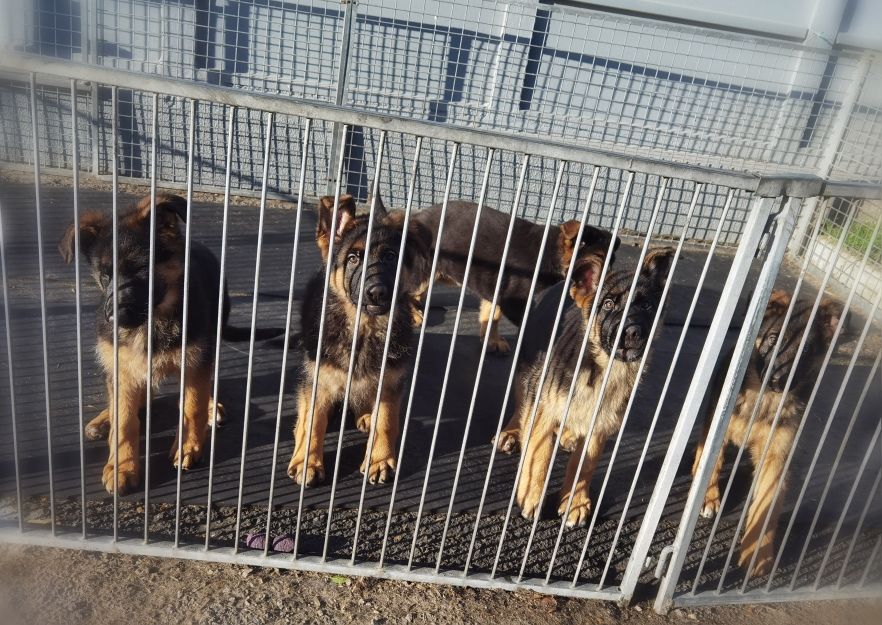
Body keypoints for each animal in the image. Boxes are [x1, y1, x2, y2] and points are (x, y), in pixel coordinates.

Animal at [59, 193, 278, 494]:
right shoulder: (122, 367)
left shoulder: (195, 361)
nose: (113, 319)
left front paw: (188, 446)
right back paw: (104, 420)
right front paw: (122, 466)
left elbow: (192, 405)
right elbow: (124, 420)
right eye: (105, 275)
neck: (154, 320)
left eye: (142, 269)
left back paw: (211, 407)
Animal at [286, 193, 430, 486]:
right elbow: (312, 422)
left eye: (390, 257)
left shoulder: (391, 380)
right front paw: (308, 460)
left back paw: (365, 414)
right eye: (353, 259)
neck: (364, 328)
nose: (377, 293)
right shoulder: (316, 378)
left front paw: (379, 460)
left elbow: (387, 420)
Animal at [408, 202, 620, 354]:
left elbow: (491, 315)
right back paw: (414, 314)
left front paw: (491, 341)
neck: (552, 253)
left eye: (612, 261)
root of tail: (417, 215)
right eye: (597, 261)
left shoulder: (497, 291)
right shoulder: (514, 300)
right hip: (426, 271)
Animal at [498, 247, 676, 528]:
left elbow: (585, 464)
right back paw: (513, 432)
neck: (599, 367)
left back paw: (568, 434)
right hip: (528, 368)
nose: (634, 333)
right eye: (608, 305)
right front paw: (531, 496)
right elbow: (539, 453)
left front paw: (576, 502)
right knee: (521, 404)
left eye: (647, 306)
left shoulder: (601, 423)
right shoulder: (543, 409)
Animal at [688, 290, 840, 576]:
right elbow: (713, 461)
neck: (765, 400)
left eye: (805, 350)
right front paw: (708, 497)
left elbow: (767, 502)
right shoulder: (719, 429)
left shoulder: (776, 455)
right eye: (773, 339)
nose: (780, 382)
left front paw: (757, 551)